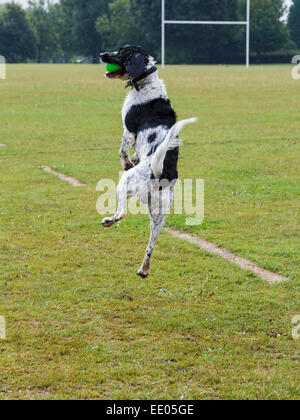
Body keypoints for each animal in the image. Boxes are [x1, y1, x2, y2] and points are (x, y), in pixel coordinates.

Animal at [99, 45, 196, 278]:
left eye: (121, 52)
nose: (101, 55)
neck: (146, 83)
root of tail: (160, 173)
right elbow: (132, 153)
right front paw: (134, 158)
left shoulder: (128, 131)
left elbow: (122, 150)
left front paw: (127, 161)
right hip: (159, 216)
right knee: (151, 245)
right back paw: (144, 270)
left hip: (125, 183)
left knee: (122, 212)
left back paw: (108, 221)